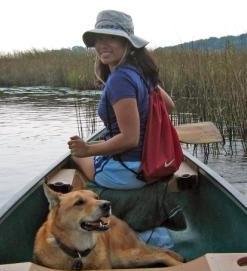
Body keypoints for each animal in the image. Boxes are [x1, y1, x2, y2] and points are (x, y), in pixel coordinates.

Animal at [33, 186, 183, 270]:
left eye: (96, 197)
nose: (107, 204)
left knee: (161, 254)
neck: (79, 252)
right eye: (79, 202)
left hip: (126, 256)